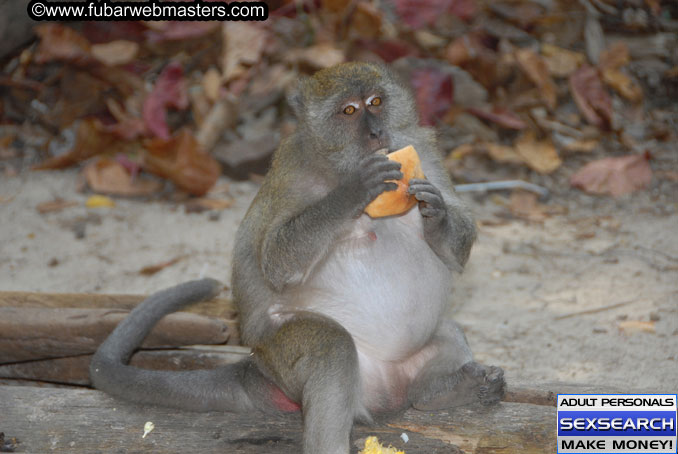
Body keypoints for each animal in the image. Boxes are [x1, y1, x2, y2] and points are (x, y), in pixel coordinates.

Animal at [90, 61, 504, 454]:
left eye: (376, 102)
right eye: (349, 110)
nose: (376, 133)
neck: (334, 164)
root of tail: (257, 370)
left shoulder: (425, 154)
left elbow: (458, 249)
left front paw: (437, 213)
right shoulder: (292, 176)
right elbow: (277, 261)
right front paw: (355, 190)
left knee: (445, 330)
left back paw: (440, 392)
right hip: (282, 358)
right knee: (331, 347)